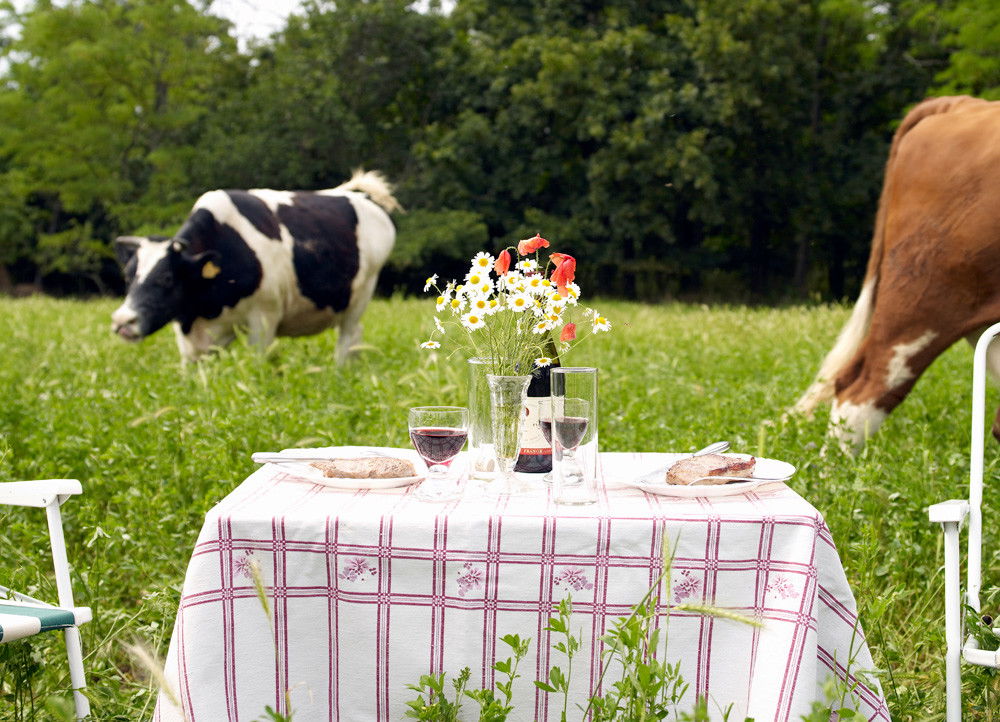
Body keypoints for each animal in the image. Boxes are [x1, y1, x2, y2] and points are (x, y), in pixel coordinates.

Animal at [110, 169, 398, 360]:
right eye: (127, 276)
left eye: (167, 278)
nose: (123, 321)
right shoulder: (191, 332)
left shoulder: (264, 318)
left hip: (359, 298)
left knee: (348, 339)